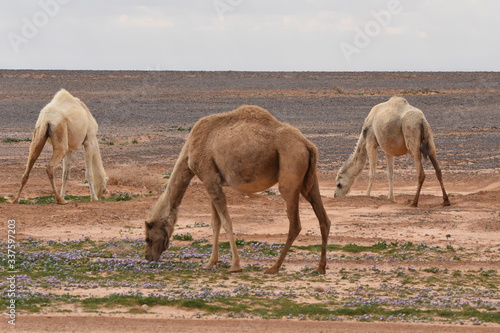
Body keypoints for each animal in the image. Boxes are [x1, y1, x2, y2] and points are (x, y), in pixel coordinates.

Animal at [145, 105, 332, 274]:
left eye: (148, 238)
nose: (148, 257)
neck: (190, 151)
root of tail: (308, 145)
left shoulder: (209, 178)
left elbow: (226, 222)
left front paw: (235, 266)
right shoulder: (213, 181)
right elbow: (215, 223)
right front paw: (210, 263)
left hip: (290, 172)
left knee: (295, 224)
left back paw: (274, 268)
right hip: (310, 181)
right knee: (324, 219)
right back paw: (320, 268)